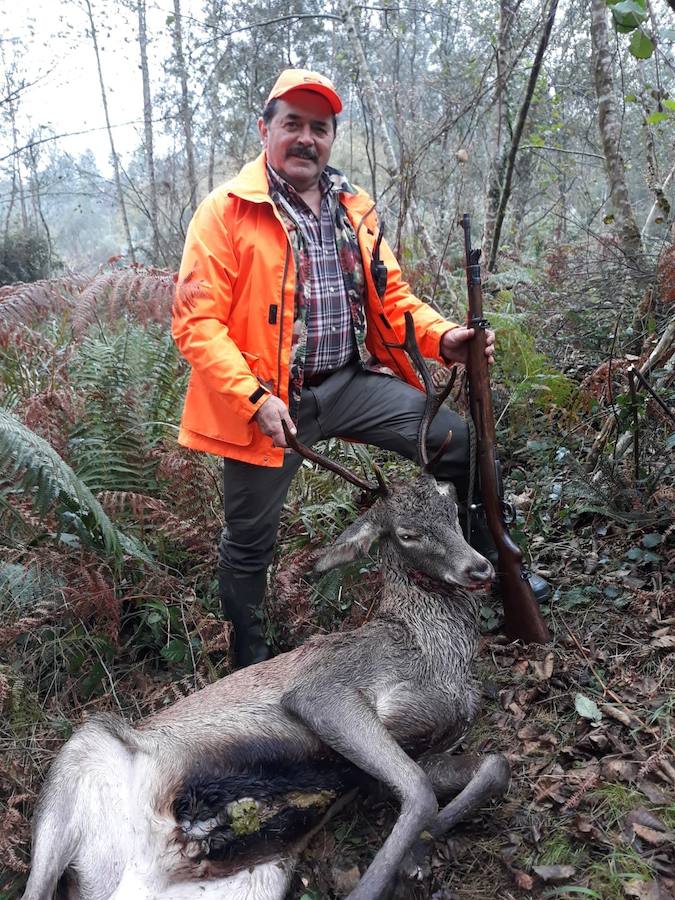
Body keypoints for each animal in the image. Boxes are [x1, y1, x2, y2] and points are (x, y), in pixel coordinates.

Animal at [22, 316, 512, 900]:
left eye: (450, 506)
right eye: (407, 533)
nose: (480, 569)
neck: (431, 656)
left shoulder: (417, 744)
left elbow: (493, 765)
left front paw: (422, 846)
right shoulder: (326, 688)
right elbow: (417, 792)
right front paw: (395, 869)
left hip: (256, 877)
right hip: (80, 752)